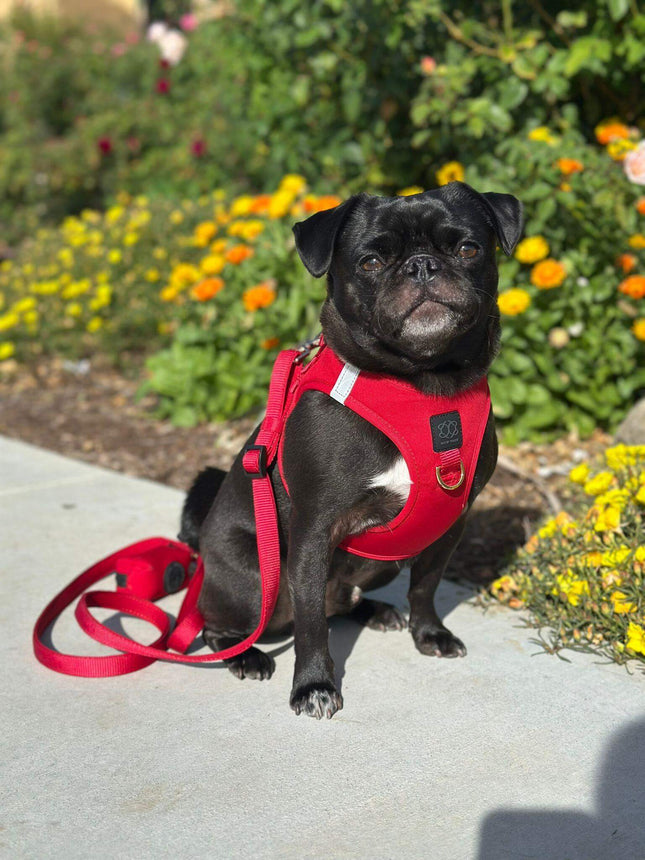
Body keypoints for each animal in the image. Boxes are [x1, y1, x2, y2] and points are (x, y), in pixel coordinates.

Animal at [179, 180, 520, 720]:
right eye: (371, 262)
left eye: (468, 249)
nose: (422, 265)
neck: (422, 386)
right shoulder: (315, 531)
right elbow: (310, 625)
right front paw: (314, 685)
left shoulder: (450, 525)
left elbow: (426, 585)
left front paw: (429, 634)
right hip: (252, 581)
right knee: (223, 624)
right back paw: (246, 654)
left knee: (342, 603)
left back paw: (376, 610)